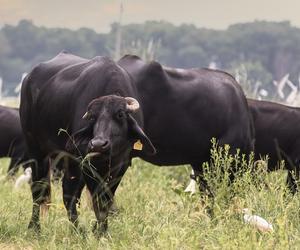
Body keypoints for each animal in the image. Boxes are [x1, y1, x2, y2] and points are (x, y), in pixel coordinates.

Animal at [19, 51, 253, 233]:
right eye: (92, 118)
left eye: (121, 115)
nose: (99, 144)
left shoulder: (123, 162)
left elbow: (104, 198)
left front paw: (100, 231)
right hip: (37, 149)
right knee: (40, 190)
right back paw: (35, 229)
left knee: (68, 193)